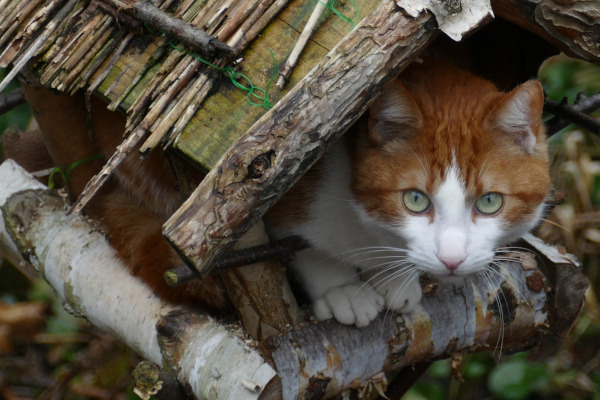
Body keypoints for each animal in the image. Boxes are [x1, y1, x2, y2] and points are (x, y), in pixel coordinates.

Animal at [264, 43, 552, 326]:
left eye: (489, 202)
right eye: (415, 199)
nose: (452, 260)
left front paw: (392, 276)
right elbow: (308, 252)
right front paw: (343, 288)